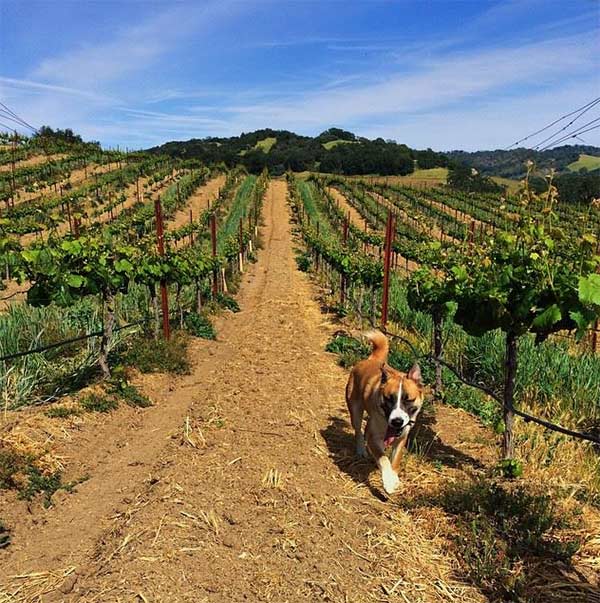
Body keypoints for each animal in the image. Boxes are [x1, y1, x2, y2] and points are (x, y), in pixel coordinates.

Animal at [344, 330, 424, 496]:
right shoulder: (374, 436)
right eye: (389, 399)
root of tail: (371, 360)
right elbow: (383, 459)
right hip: (355, 409)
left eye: (408, 400)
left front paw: (394, 478)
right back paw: (361, 450)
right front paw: (388, 482)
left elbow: (395, 461)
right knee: (358, 431)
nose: (397, 421)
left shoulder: (402, 438)